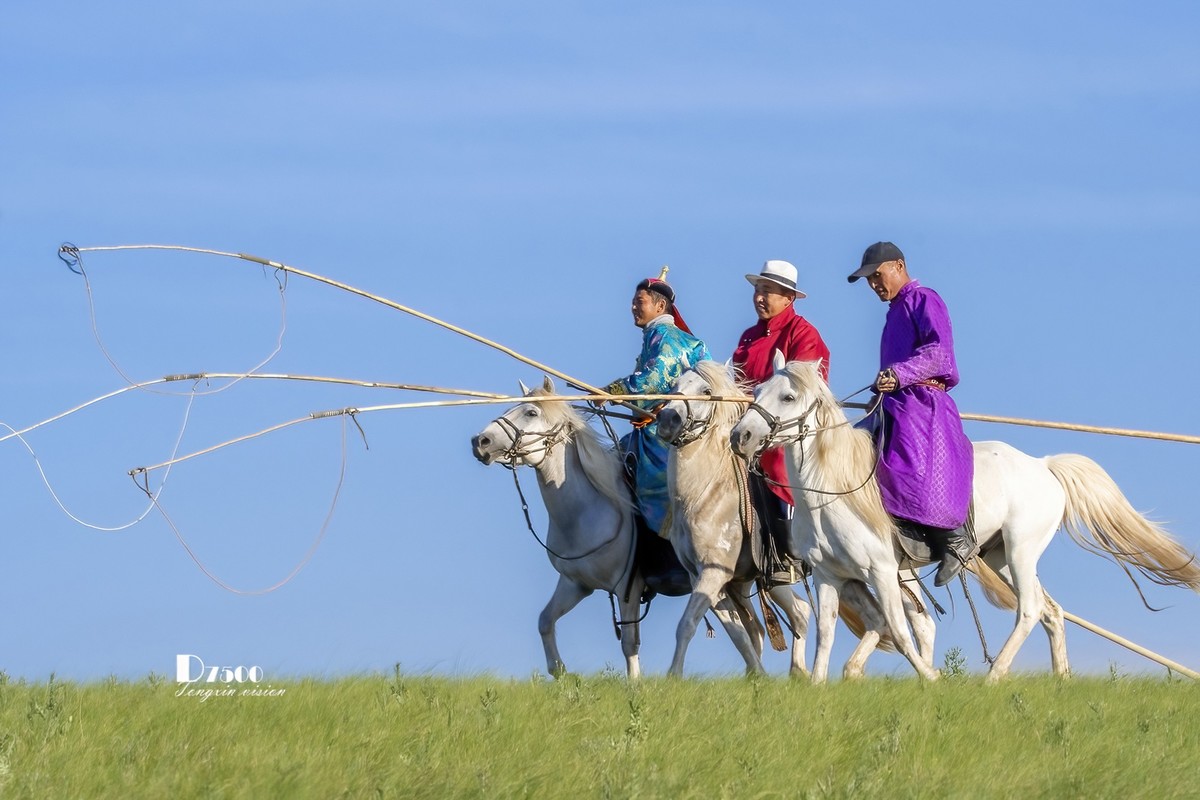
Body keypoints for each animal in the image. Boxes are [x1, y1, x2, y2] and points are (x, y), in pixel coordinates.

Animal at [471, 377, 646, 678]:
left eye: (531, 412)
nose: (480, 441)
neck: (589, 511)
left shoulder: (628, 587)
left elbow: (629, 644)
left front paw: (635, 682)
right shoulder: (575, 583)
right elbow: (545, 621)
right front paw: (559, 670)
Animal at [657, 360, 935, 679]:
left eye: (705, 391)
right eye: (675, 385)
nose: (667, 420)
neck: (706, 491)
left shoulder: (715, 573)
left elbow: (688, 625)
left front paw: (673, 676)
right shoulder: (718, 579)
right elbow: (741, 633)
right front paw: (758, 675)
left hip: (895, 571)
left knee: (918, 623)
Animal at [730, 354, 1200, 682]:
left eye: (788, 397)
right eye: (757, 391)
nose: (741, 436)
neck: (830, 490)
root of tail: (1045, 466)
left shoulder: (881, 571)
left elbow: (898, 628)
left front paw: (932, 677)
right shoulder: (831, 575)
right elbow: (827, 636)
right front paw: (819, 687)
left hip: (1022, 549)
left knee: (1030, 609)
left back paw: (994, 676)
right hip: (999, 557)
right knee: (1051, 611)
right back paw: (1061, 679)